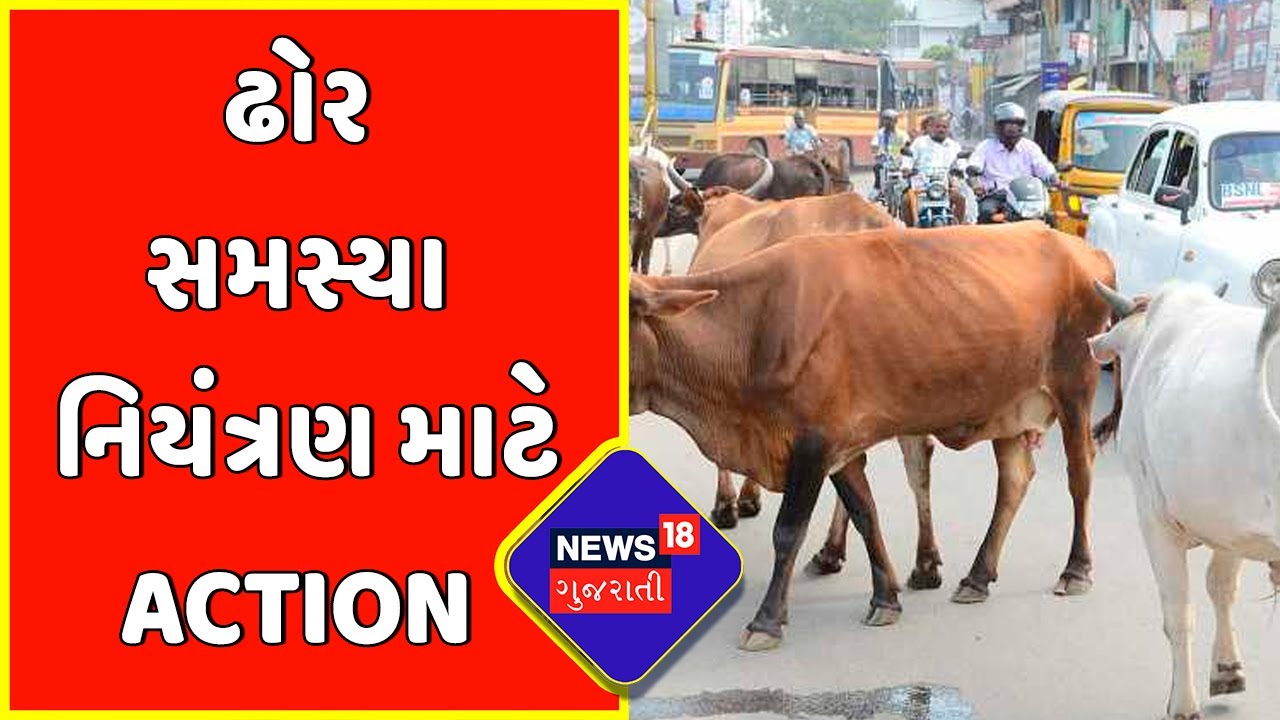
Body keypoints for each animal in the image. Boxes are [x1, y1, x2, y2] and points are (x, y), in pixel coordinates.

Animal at [629, 223, 1115, 650]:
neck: (750, 330)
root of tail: (1088, 252)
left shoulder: (812, 444)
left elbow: (788, 531)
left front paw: (766, 621)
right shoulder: (839, 446)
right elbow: (865, 514)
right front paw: (886, 598)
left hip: (1076, 387)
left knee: (1080, 474)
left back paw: (1076, 570)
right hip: (1009, 407)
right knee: (1014, 480)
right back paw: (977, 577)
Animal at [1088, 280, 1280, 720]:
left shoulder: (1153, 518)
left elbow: (1178, 613)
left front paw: (1183, 703)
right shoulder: (1232, 524)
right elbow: (1221, 587)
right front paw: (1227, 669)